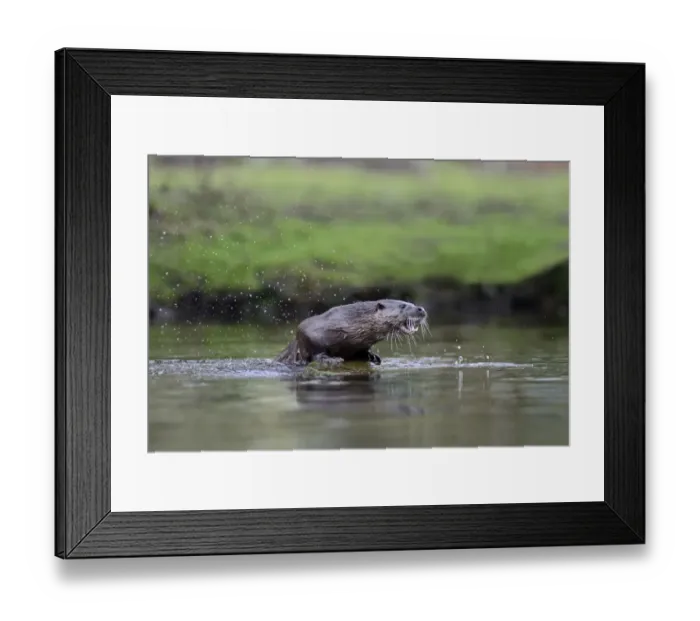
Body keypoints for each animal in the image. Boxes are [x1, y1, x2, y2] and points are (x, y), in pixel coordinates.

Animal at [275, 299, 428, 366]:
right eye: (403, 306)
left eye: (412, 303)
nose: (421, 308)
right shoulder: (307, 330)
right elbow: (314, 352)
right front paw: (330, 359)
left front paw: (372, 356)